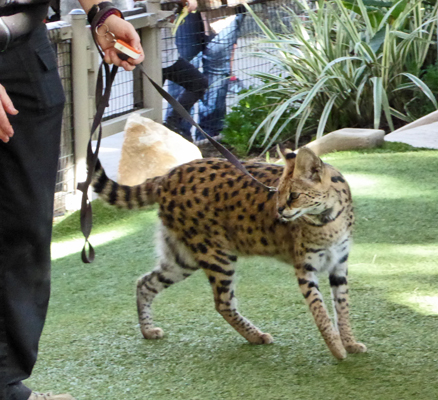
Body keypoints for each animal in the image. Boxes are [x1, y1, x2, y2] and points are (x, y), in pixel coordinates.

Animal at [92, 147, 366, 360]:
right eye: (277, 193)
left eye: (294, 195)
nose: (278, 211)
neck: (327, 218)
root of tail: (167, 175)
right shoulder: (305, 268)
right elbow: (320, 311)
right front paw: (337, 349)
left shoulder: (339, 265)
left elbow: (342, 307)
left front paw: (349, 342)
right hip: (215, 254)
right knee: (222, 303)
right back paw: (255, 336)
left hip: (182, 259)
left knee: (145, 282)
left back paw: (147, 330)